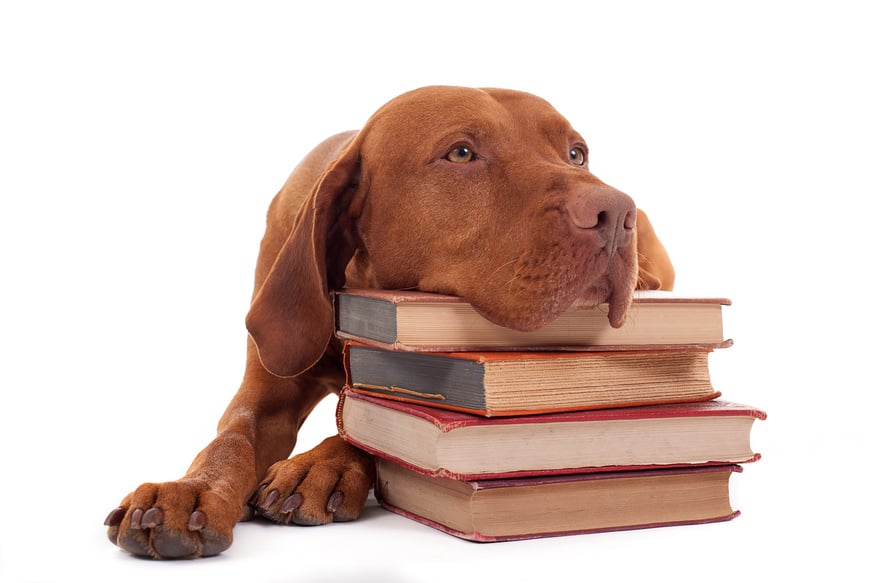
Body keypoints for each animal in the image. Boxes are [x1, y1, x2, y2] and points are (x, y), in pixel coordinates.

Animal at [104, 84, 676, 560]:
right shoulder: (265, 387)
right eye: (461, 152)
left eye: (577, 153)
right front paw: (192, 490)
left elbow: (363, 423)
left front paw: (322, 464)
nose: (616, 212)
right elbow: (230, 438)